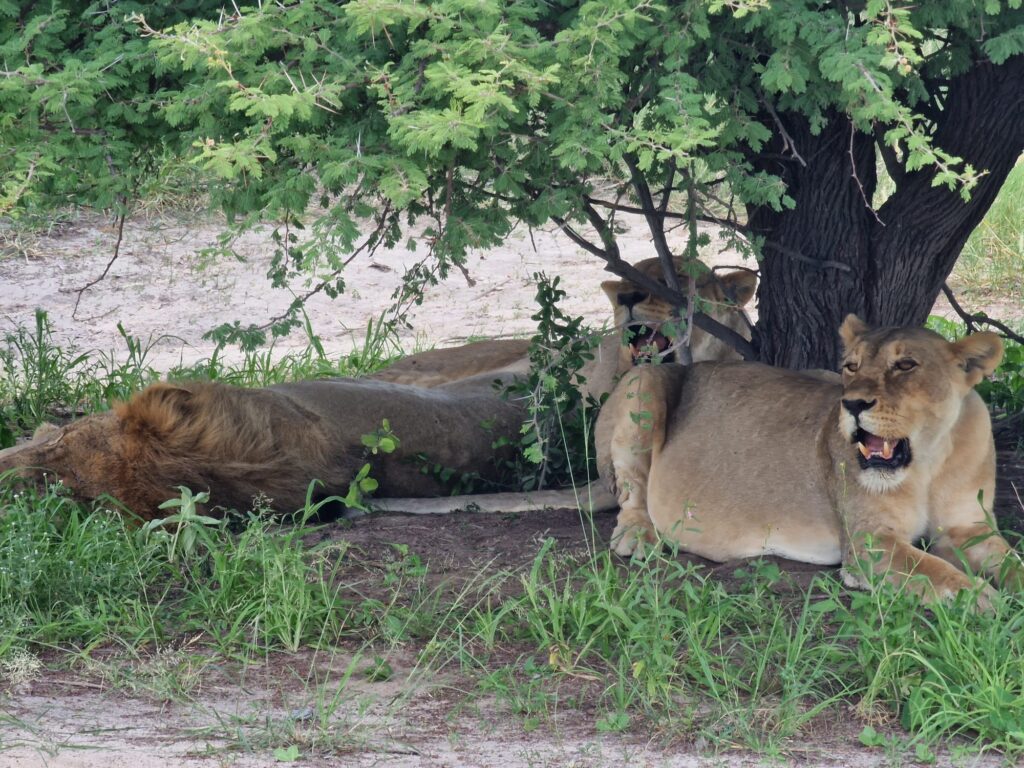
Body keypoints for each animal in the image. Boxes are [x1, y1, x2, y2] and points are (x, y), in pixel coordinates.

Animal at [598, 315, 1024, 610]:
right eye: (852, 366)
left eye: (906, 365)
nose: (852, 404)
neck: (929, 461)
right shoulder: (869, 542)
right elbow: (935, 571)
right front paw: (982, 599)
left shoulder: (970, 528)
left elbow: (1013, 562)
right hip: (643, 380)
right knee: (630, 494)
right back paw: (637, 537)